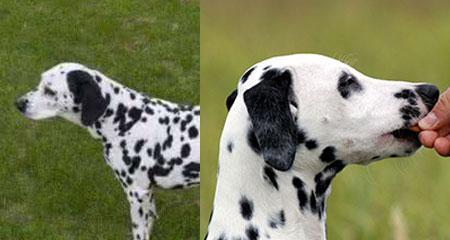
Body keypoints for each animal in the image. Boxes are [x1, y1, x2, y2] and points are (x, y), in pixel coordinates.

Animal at [15, 63, 200, 240]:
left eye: (49, 90)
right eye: (41, 82)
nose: (18, 103)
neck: (127, 120)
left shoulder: (137, 193)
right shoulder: (147, 193)